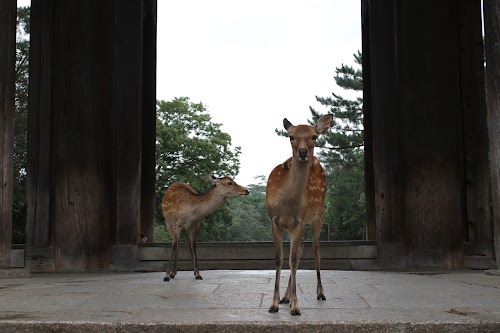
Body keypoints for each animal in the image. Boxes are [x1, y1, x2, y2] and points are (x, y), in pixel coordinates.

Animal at [266, 113, 332, 314]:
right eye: (291, 136)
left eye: (314, 137)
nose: (303, 152)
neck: (287, 204)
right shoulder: (275, 220)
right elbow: (280, 258)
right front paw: (274, 304)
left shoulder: (299, 220)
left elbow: (293, 259)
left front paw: (296, 307)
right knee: (301, 249)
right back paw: (285, 298)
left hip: (319, 214)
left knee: (316, 250)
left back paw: (320, 292)